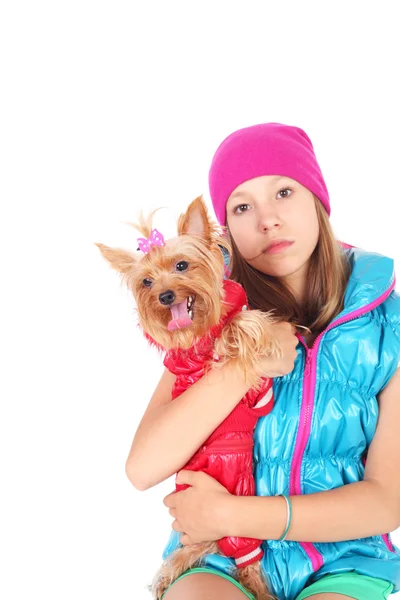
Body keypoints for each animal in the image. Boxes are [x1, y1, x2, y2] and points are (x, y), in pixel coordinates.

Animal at [94, 197, 282, 600]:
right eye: (146, 282)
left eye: (182, 265)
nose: (165, 295)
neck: (199, 333)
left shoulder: (260, 395)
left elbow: (239, 327)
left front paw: (238, 333)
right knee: (206, 550)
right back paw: (167, 576)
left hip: (238, 506)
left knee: (244, 559)